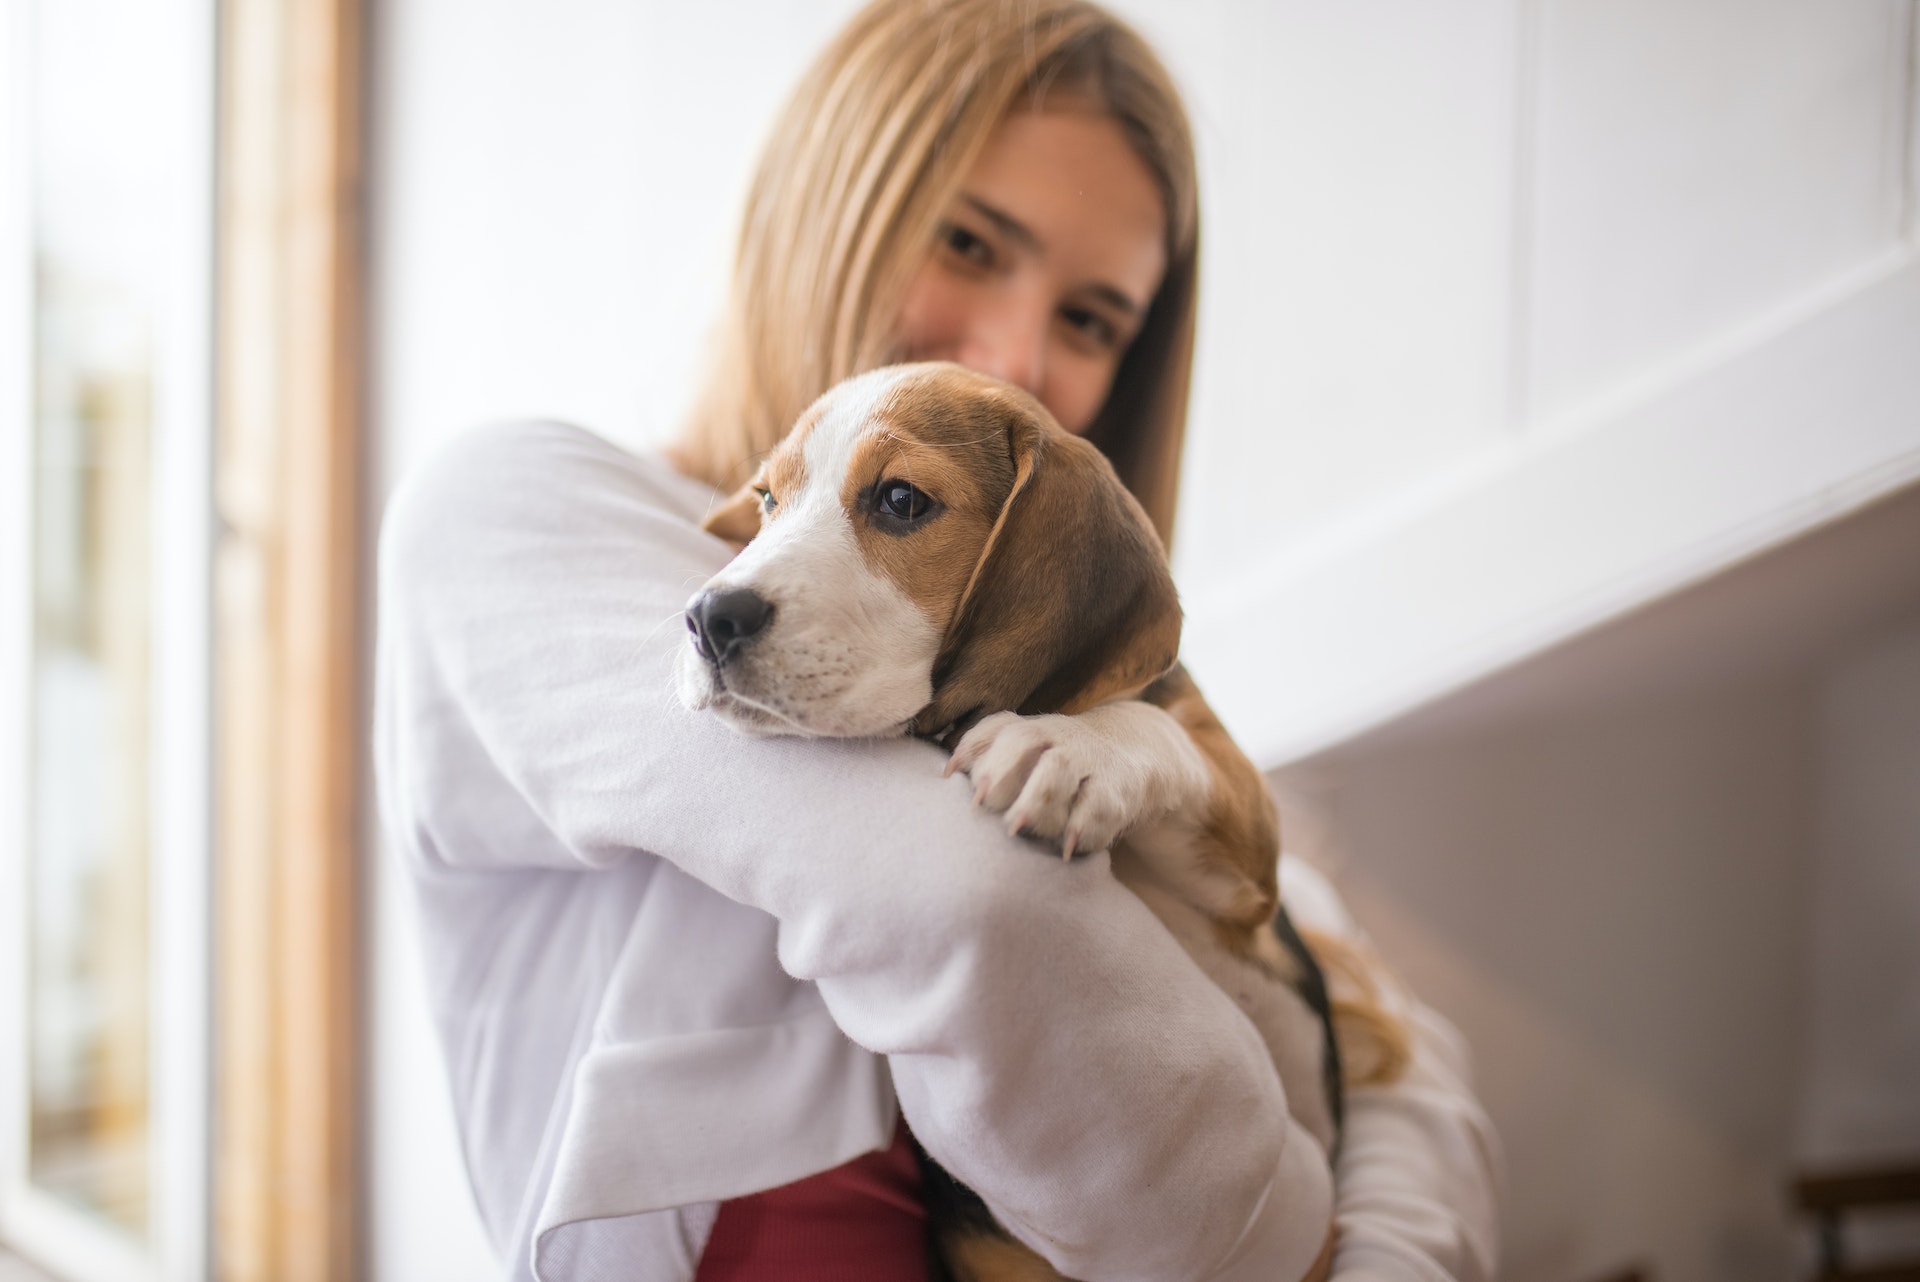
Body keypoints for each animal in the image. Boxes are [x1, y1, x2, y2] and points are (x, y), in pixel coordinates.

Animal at [675, 360, 1382, 1282]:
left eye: (900, 501)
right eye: (766, 500)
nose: (707, 617)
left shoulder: (1249, 871)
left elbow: (1144, 724)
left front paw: (1066, 746)